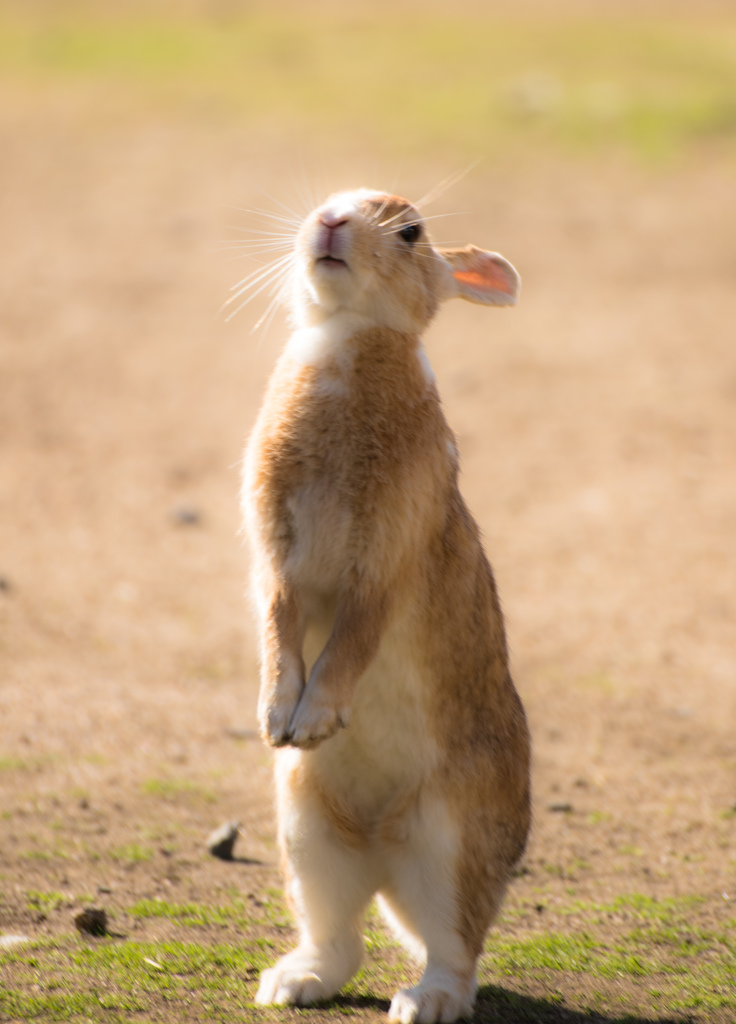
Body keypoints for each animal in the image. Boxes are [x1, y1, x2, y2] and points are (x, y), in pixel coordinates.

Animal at [244, 190, 532, 1024]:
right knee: (340, 934)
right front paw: (276, 718)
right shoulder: (276, 558)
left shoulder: (384, 560)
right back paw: (289, 985)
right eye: (325, 198)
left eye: (410, 232)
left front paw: (311, 721)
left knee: (455, 950)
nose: (331, 223)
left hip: (448, 838)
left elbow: (352, 638)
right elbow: (279, 622)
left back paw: (423, 1003)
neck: (346, 340)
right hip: (306, 829)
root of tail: (380, 850)